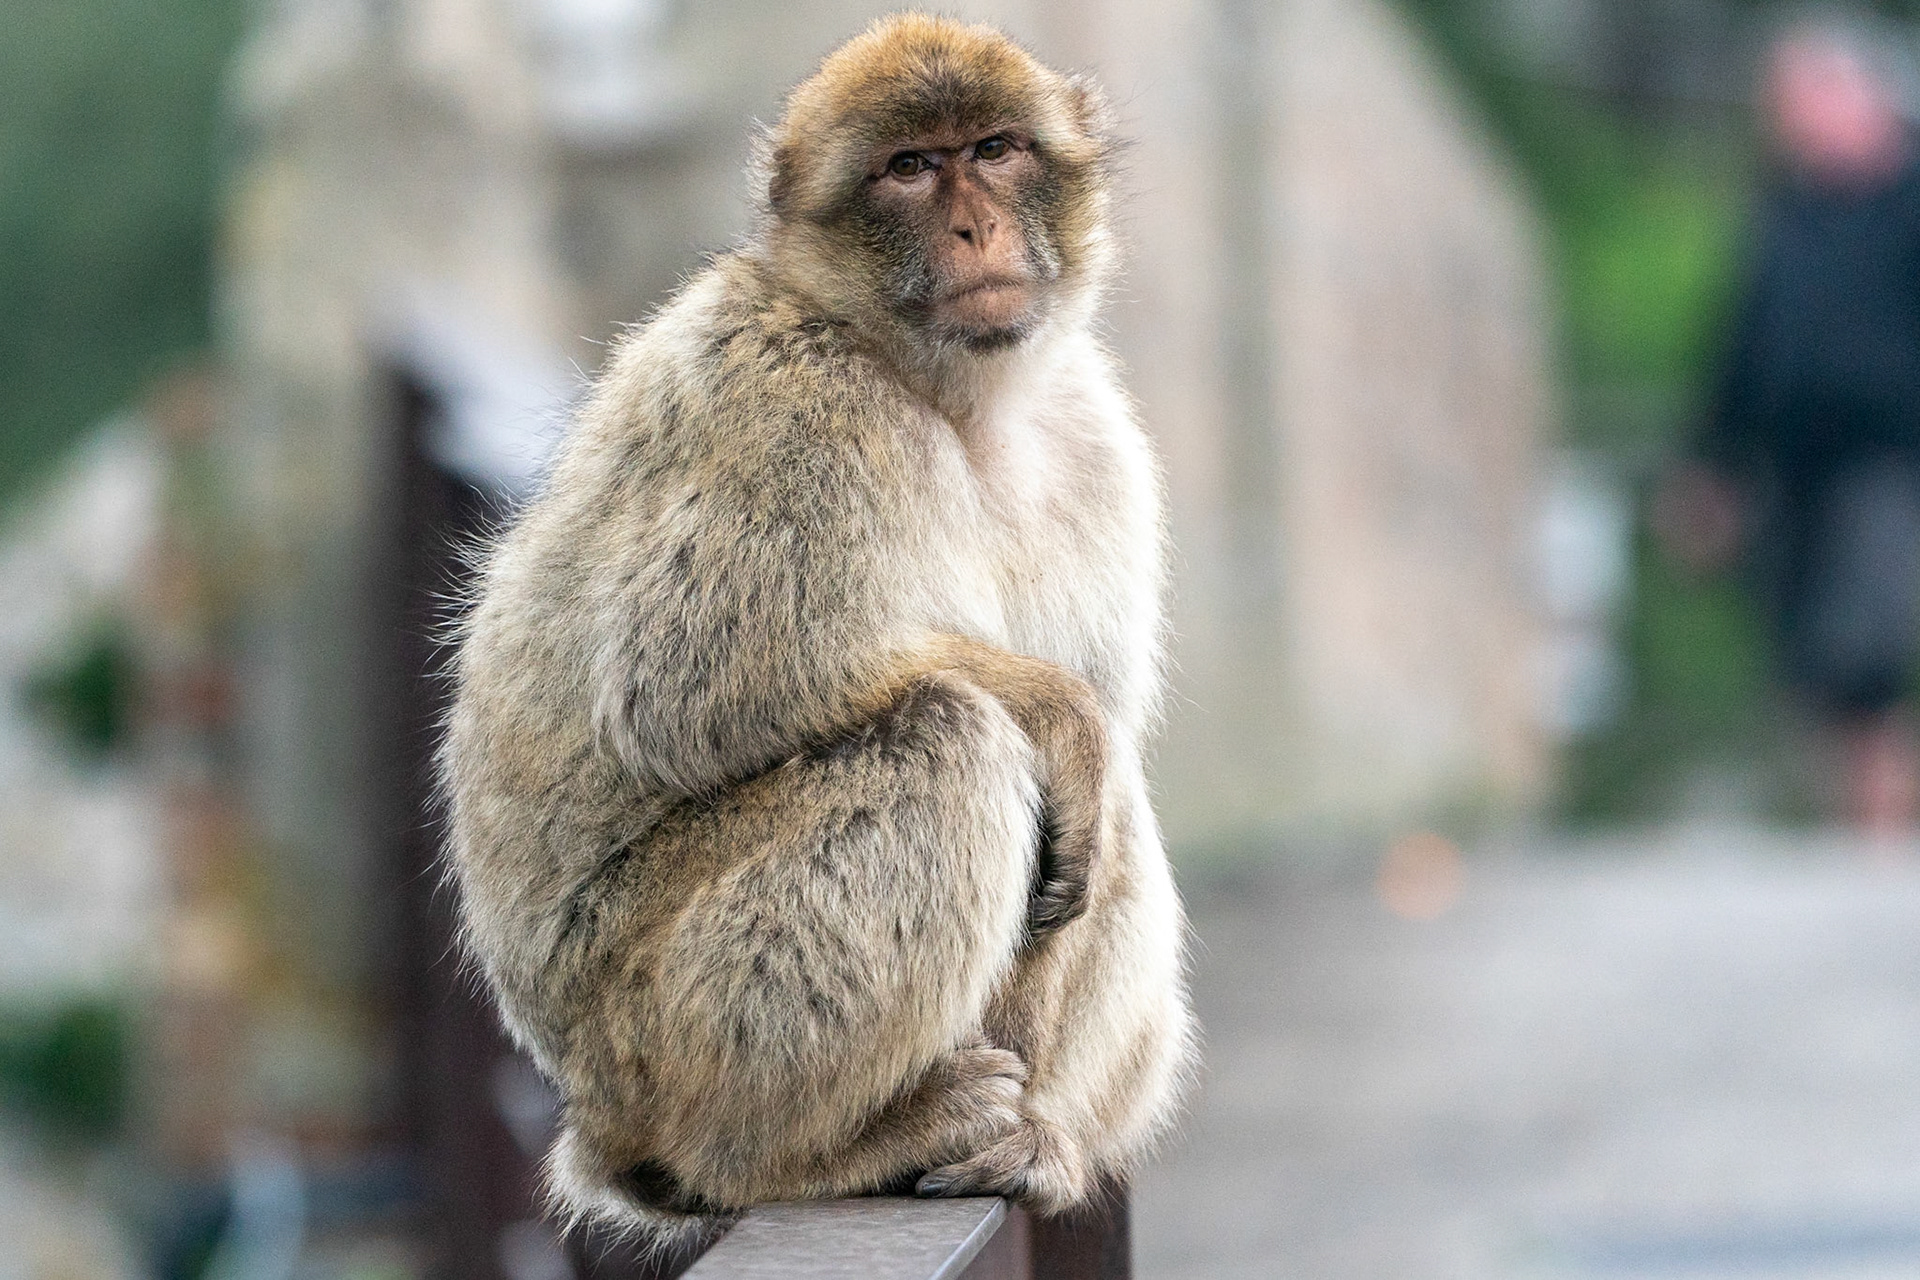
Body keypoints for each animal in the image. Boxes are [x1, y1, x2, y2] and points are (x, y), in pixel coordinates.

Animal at [438, 13, 1196, 1243]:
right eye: (909, 168)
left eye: (994, 150)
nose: (975, 225)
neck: (945, 397)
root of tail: (600, 1120)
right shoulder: (794, 403)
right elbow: (690, 689)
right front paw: (1058, 712)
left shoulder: (1095, 437)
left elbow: (1093, 796)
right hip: (647, 1017)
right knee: (945, 736)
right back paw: (799, 1149)